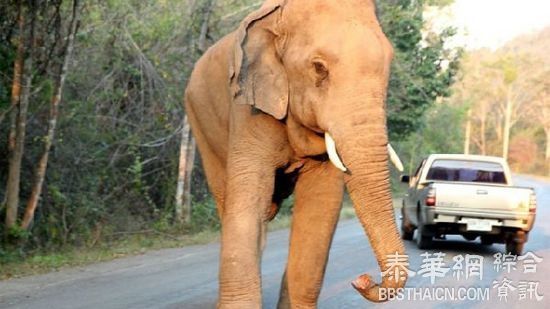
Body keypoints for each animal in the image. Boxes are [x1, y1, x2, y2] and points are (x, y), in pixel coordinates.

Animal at [185, 0, 410, 306]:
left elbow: (321, 204)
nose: (362, 279)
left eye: (388, 65)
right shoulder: (247, 109)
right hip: (201, 124)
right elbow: (248, 199)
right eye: (319, 68)